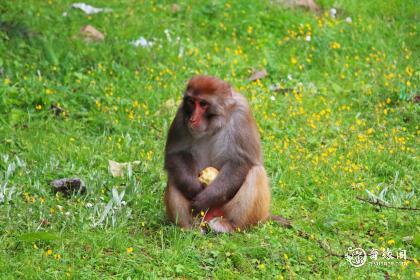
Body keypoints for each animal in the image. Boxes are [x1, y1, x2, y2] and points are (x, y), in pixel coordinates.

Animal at [163, 75, 288, 233]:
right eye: (191, 102)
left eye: (203, 104)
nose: (192, 119)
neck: (215, 123)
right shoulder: (181, 113)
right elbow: (176, 154)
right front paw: (193, 188)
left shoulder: (241, 114)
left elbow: (241, 161)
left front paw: (206, 198)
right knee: (174, 176)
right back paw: (189, 228)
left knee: (255, 172)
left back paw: (231, 225)